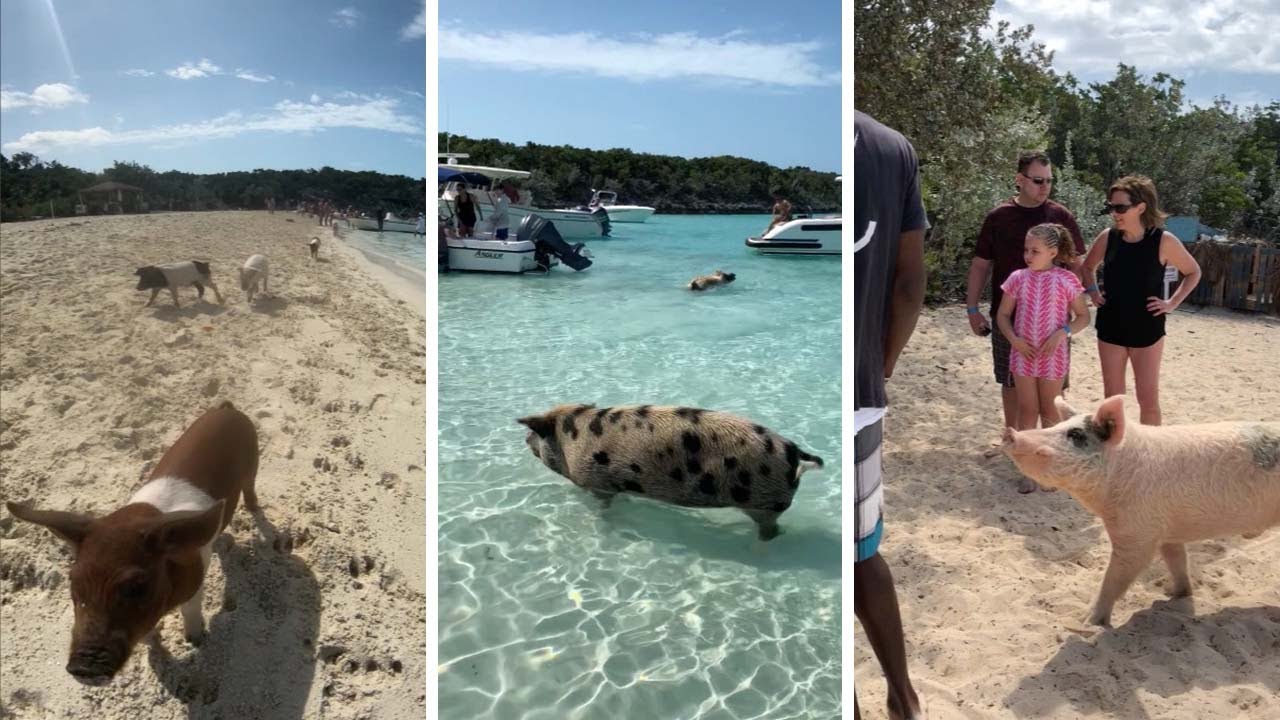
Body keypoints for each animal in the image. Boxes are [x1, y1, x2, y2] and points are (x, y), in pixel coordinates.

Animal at [5, 401, 259, 684]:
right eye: (73, 580)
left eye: (137, 586)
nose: (84, 668)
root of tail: (227, 408)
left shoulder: (195, 585)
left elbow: (191, 610)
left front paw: (196, 641)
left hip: (254, 457)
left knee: (250, 487)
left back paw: (255, 510)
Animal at [518, 403, 822, 540]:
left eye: (536, 434)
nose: (524, 438)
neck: (572, 440)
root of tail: (796, 453)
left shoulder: (597, 481)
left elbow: (603, 506)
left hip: (764, 503)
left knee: (771, 530)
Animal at [1002, 394, 1280, 626]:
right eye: (1057, 426)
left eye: (1076, 434)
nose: (1010, 433)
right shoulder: (1165, 530)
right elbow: (1177, 560)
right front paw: (1175, 596)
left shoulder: (1136, 535)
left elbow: (1114, 577)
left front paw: (1084, 624)